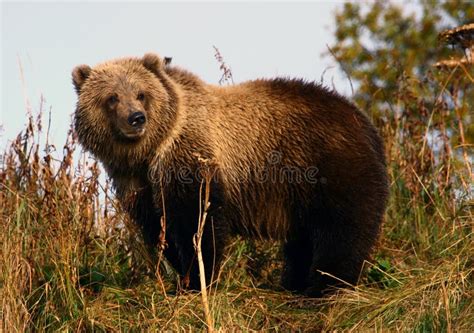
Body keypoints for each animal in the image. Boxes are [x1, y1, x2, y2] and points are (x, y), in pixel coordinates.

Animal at [71, 52, 388, 296]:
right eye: (112, 97)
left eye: (141, 93)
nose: (136, 118)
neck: (148, 153)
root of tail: (366, 122)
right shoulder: (137, 183)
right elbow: (160, 227)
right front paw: (182, 277)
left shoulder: (190, 160)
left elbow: (196, 222)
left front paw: (198, 281)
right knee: (304, 239)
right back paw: (293, 282)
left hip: (328, 165)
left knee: (342, 229)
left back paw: (325, 286)